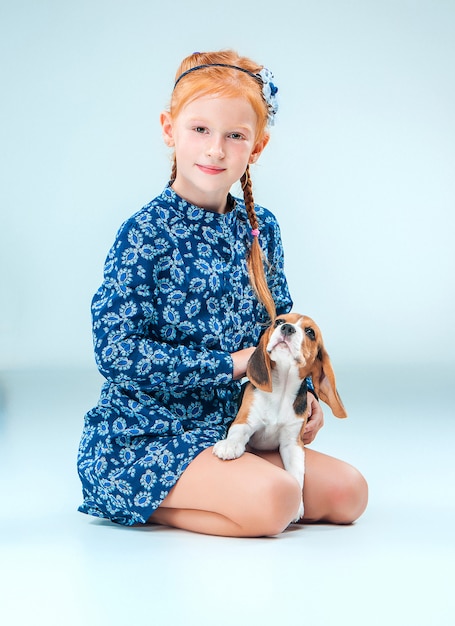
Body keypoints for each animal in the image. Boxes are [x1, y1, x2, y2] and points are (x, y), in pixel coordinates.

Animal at [212, 310, 348, 520]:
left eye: (310, 332)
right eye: (278, 322)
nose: (287, 328)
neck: (281, 389)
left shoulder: (293, 443)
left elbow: (297, 472)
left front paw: (297, 504)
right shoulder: (245, 420)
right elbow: (237, 432)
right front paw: (229, 446)